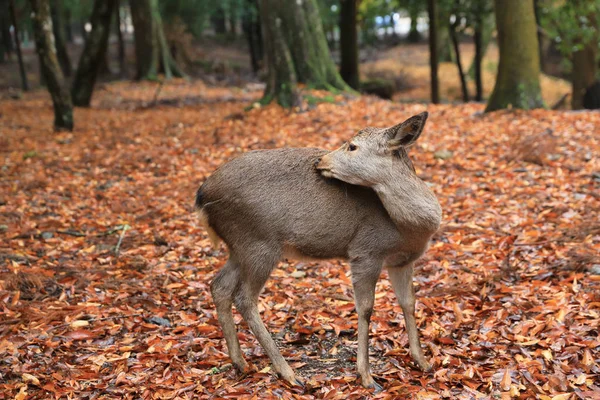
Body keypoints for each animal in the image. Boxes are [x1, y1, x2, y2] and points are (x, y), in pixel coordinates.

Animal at [196, 111, 440, 390]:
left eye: (352, 146)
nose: (320, 160)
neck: (408, 228)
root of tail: (202, 196)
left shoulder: (402, 261)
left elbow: (409, 302)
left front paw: (423, 361)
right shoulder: (365, 250)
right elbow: (366, 308)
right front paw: (366, 376)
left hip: (239, 247)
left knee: (220, 286)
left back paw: (240, 363)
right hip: (258, 241)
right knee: (244, 297)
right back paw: (288, 373)